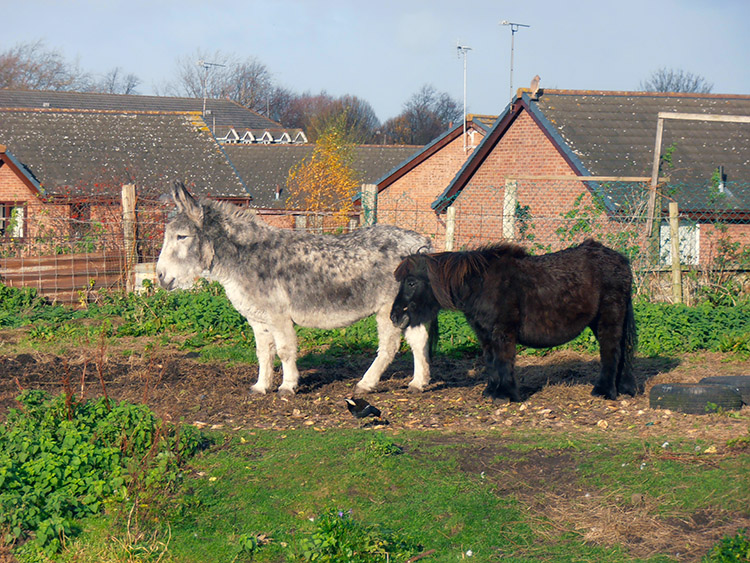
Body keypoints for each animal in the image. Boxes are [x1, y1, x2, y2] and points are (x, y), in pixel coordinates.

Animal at [390, 238, 636, 400]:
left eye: (411, 282)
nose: (395, 316)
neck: (481, 285)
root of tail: (622, 260)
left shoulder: (502, 332)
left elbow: (504, 360)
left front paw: (505, 394)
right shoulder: (485, 334)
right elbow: (491, 361)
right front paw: (491, 391)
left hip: (609, 319)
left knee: (611, 352)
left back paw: (604, 391)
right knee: (620, 352)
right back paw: (622, 388)